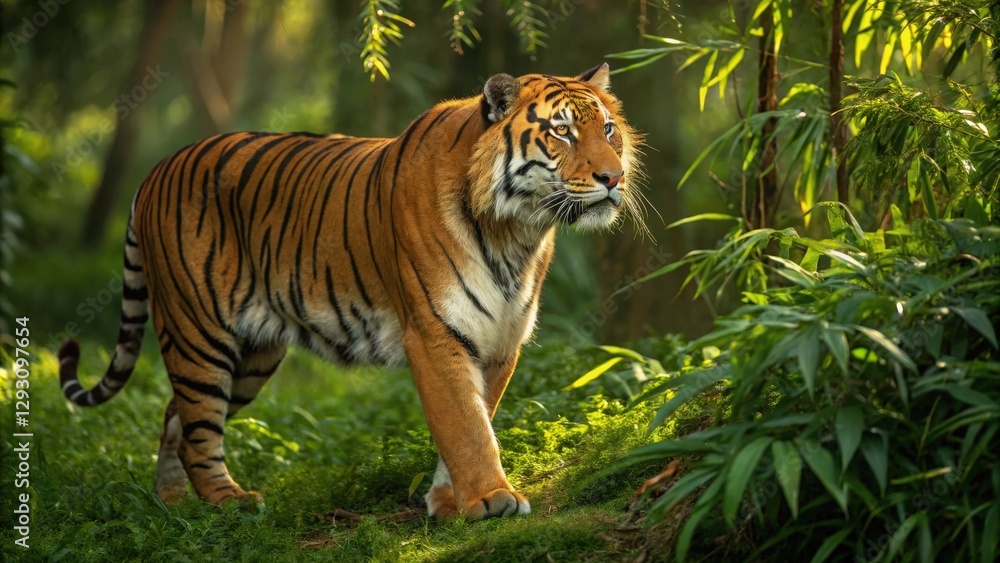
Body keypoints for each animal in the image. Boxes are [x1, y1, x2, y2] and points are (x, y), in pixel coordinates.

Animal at [58, 63, 643, 519]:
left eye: (608, 129)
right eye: (562, 133)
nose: (613, 178)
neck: (516, 230)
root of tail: (154, 172)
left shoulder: (500, 337)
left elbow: (480, 416)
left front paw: (449, 501)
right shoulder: (435, 333)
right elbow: (465, 424)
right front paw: (489, 500)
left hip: (252, 355)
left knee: (174, 414)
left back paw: (174, 503)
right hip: (199, 334)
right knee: (198, 425)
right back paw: (227, 502)